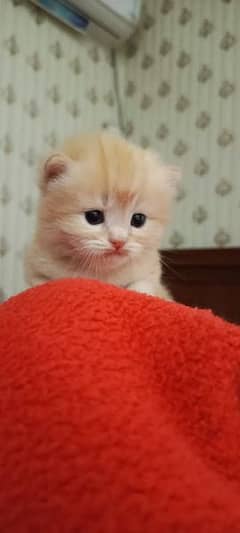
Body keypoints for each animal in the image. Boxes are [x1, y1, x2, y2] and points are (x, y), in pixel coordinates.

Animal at [24, 131, 179, 298]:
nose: (119, 241)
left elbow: (141, 287)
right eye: (93, 217)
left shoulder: (149, 276)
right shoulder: (37, 273)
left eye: (138, 220)